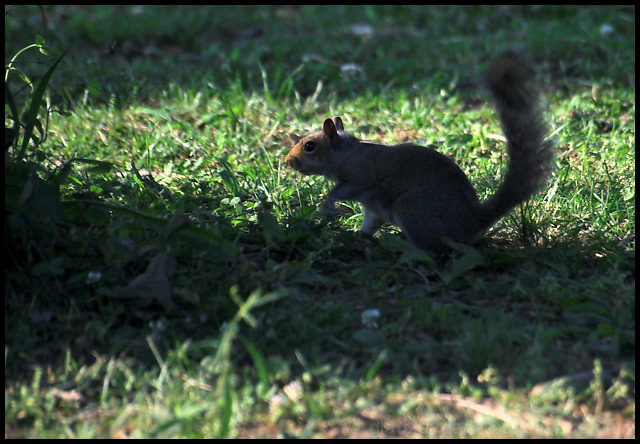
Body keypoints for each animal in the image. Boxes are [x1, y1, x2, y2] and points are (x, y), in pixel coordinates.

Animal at [284, 51, 556, 253]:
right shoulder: (373, 209)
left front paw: (328, 205)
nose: (288, 161)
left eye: (309, 146)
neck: (345, 153)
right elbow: (370, 225)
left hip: (413, 210)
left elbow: (342, 190)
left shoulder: (360, 177)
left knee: (434, 251)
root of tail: (472, 220)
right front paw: (355, 237)